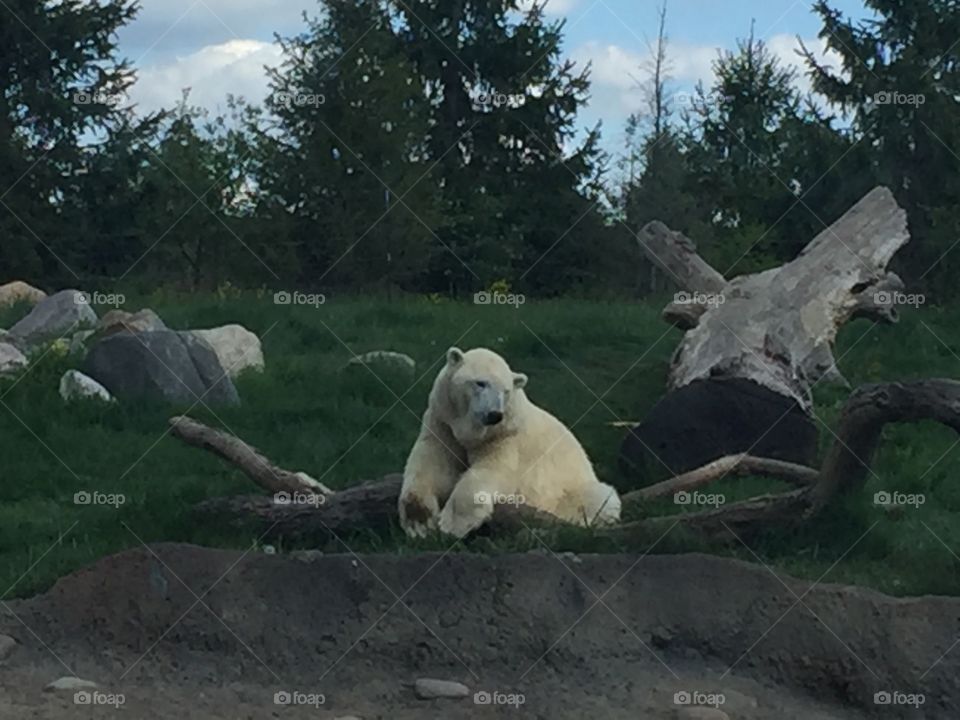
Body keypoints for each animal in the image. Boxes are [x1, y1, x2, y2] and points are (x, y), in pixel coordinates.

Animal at [398, 346, 621, 538]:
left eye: (505, 391)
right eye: (480, 383)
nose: (494, 414)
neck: (472, 432)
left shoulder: (505, 436)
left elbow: (490, 470)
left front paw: (452, 525)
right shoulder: (442, 423)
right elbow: (432, 465)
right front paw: (420, 524)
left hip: (573, 489)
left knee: (599, 497)